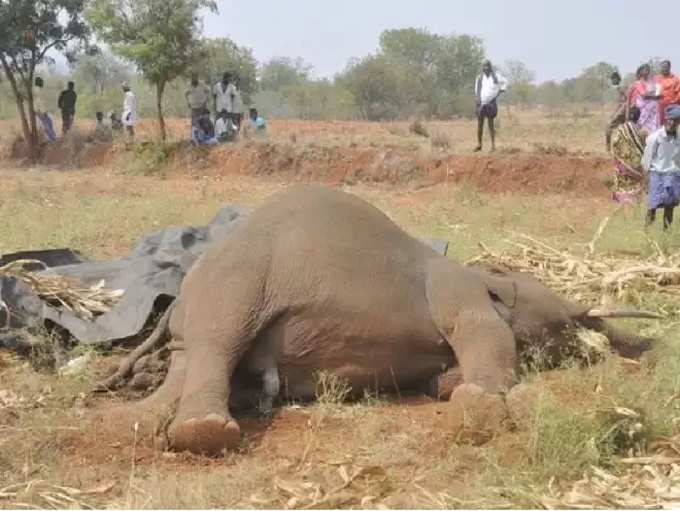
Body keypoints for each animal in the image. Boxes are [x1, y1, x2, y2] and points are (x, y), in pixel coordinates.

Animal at [113, 185, 652, 456]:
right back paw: (203, 433)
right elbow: (481, 330)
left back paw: (141, 421)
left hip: (198, 318)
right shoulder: (455, 289)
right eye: (566, 321)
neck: (487, 276)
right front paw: (481, 412)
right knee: (218, 340)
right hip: (238, 280)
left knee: (188, 361)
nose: (653, 346)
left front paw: (456, 391)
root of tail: (179, 295)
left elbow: (440, 377)